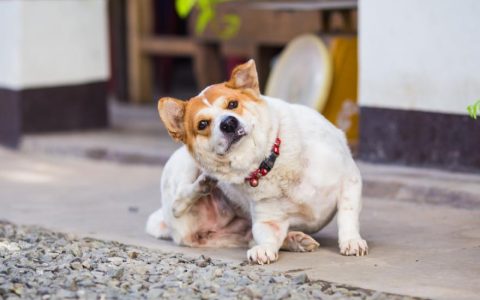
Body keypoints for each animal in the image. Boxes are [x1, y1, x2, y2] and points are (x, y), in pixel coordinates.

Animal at [150, 59, 368, 264]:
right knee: (177, 203)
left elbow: (346, 215)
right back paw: (203, 185)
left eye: (232, 104)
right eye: (202, 124)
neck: (269, 162)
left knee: (250, 237)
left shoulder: (349, 179)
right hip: (184, 170)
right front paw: (264, 249)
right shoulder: (268, 220)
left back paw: (295, 240)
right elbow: (267, 238)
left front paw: (351, 241)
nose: (228, 123)